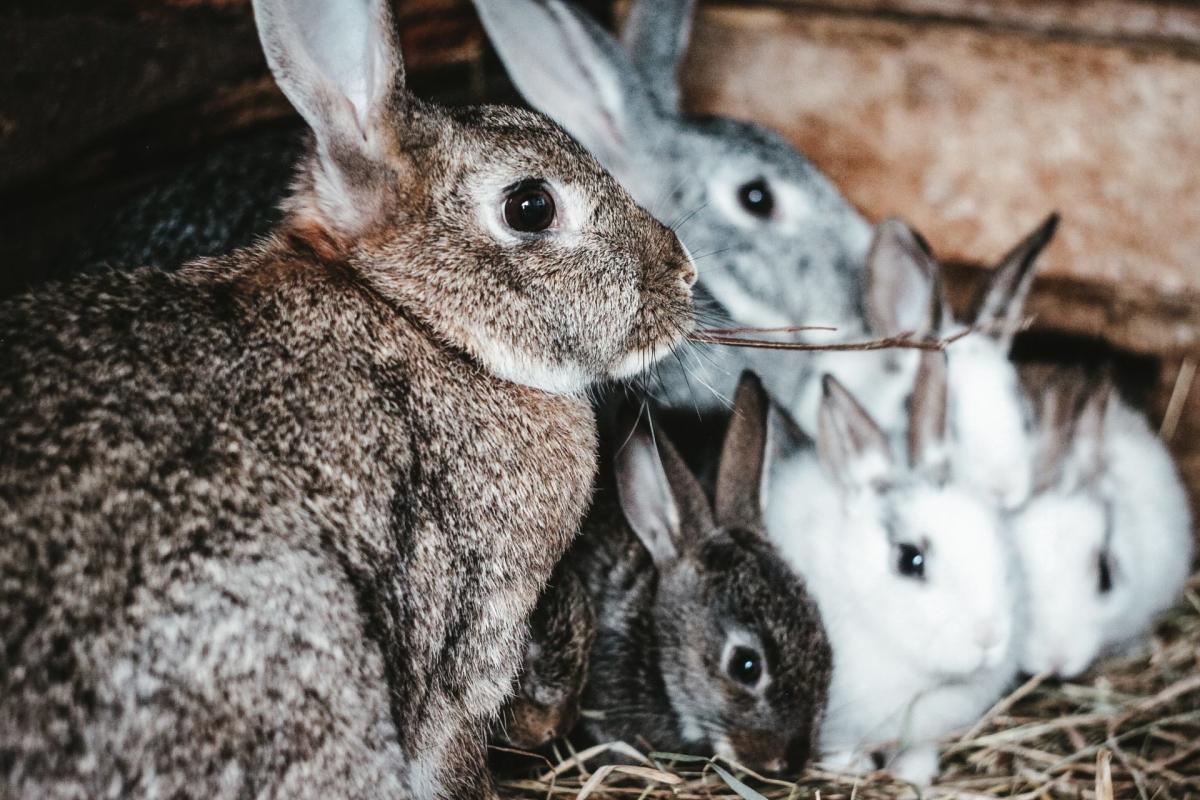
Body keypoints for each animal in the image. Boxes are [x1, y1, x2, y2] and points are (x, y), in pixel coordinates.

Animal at [772, 352, 1017, 786]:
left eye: (998, 534)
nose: (989, 638)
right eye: (909, 560)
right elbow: (840, 750)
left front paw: (914, 776)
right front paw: (851, 770)